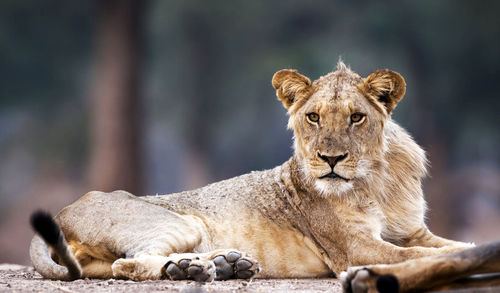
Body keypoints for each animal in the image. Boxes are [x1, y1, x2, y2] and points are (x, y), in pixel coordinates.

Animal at [31, 60, 500, 290]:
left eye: (356, 117)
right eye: (313, 117)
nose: (330, 159)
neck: (375, 179)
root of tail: (67, 208)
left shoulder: (413, 231)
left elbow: (454, 245)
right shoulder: (352, 248)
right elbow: (417, 256)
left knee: (113, 266)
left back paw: (223, 265)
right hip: (179, 220)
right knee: (129, 263)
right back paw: (191, 269)